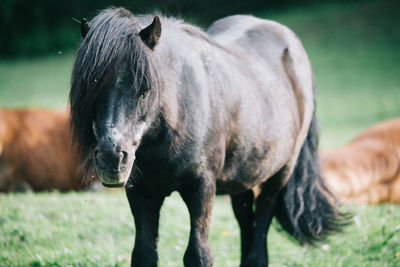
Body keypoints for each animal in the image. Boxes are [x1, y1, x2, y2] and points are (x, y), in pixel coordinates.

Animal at [70, 7, 346, 266]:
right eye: (91, 89)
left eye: (145, 90)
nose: (111, 159)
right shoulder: (141, 193)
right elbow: (144, 255)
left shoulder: (202, 188)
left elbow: (198, 255)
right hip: (243, 174)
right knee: (245, 216)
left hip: (279, 174)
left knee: (262, 223)